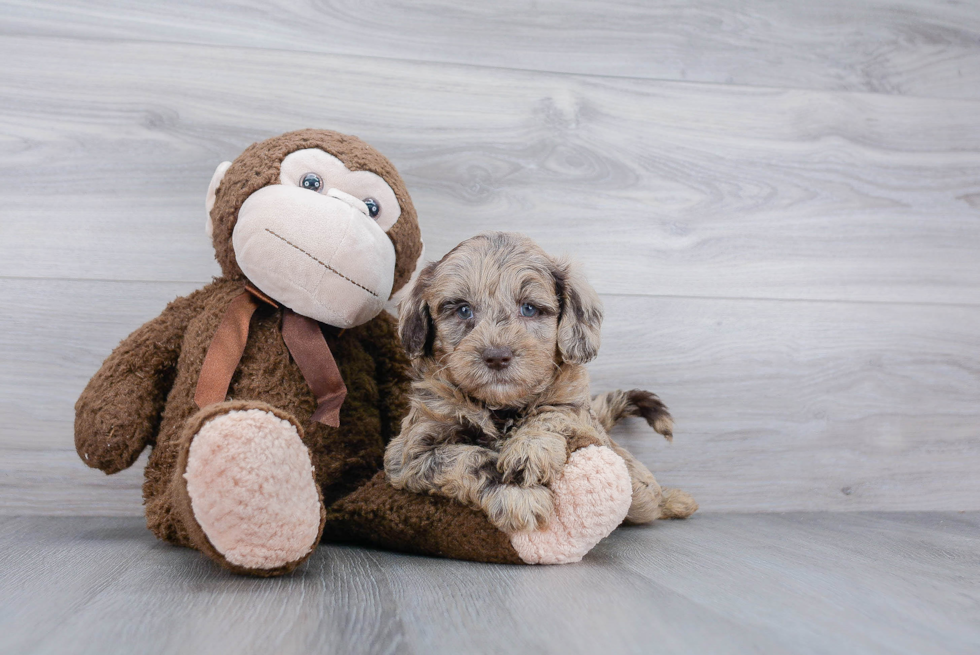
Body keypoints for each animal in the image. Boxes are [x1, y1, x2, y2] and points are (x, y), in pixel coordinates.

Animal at [384, 233, 696, 536]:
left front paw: (529, 449)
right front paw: (517, 494)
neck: (501, 407)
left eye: (529, 308)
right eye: (463, 310)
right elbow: (468, 458)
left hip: (632, 483)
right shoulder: (409, 452)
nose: (497, 356)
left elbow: (554, 413)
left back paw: (676, 500)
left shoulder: (581, 416)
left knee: (647, 495)